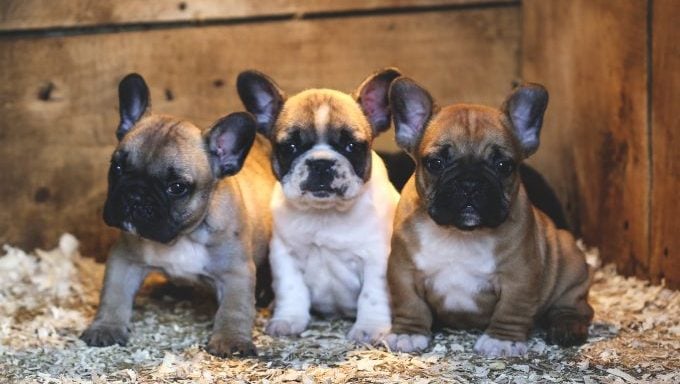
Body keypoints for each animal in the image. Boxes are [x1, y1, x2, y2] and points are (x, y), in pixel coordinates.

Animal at [77, 74, 274, 356]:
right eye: (117, 167)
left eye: (177, 187)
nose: (135, 194)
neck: (182, 236)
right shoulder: (124, 259)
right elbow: (113, 295)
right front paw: (106, 327)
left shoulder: (236, 272)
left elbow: (235, 309)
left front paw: (231, 340)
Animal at [236, 67, 402, 344]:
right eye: (290, 147)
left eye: (352, 146)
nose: (321, 163)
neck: (325, 214)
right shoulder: (285, 255)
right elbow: (291, 289)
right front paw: (288, 319)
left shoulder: (377, 257)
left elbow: (372, 294)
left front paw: (369, 328)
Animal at [386, 77, 592, 356]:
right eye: (436, 163)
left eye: (504, 166)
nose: (470, 183)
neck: (459, 234)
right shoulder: (403, 270)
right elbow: (409, 303)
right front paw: (408, 333)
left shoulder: (519, 275)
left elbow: (511, 308)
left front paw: (503, 340)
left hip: (570, 265)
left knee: (576, 306)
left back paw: (566, 326)